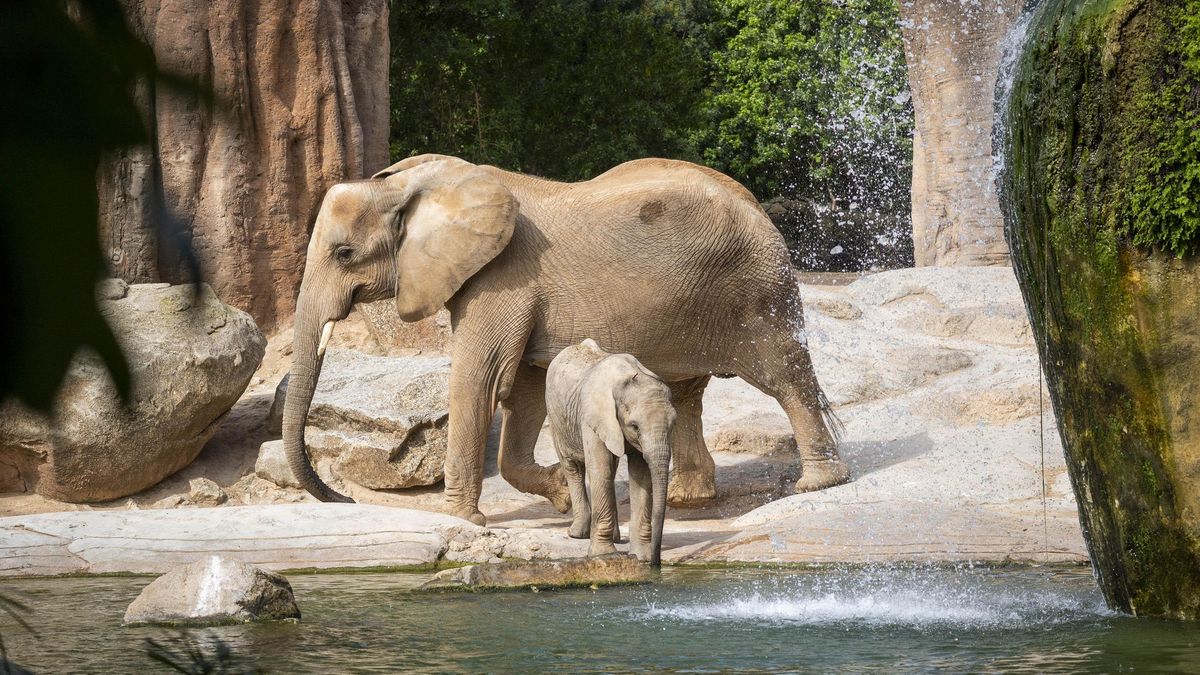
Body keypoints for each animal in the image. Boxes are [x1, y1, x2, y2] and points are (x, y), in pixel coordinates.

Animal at [282, 153, 847, 526]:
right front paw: (559, 493)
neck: (415, 186)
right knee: (686, 392)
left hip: (758, 291)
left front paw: (462, 522)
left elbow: (482, 380)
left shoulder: (502, 277)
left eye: (344, 254)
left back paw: (819, 483)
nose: (346, 501)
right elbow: (526, 387)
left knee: (785, 376)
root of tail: (758, 207)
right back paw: (688, 498)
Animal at [546, 339, 675, 566]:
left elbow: (641, 476)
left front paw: (641, 557)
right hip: (556, 417)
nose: (656, 563)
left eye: (673, 424)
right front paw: (604, 555)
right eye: (635, 427)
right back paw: (577, 533)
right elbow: (601, 469)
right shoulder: (593, 417)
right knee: (572, 466)